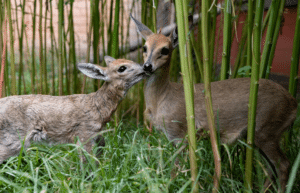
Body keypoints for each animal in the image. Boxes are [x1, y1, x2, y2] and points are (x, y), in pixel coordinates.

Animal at [131, 14, 298, 192]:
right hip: (259, 135)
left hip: (266, 128)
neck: (162, 99)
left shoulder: (179, 133)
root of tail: (293, 103)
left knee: (283, 164)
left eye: (165, 50)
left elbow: (176, 168)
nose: (147, 66)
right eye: (144, 48)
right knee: (270, 167)